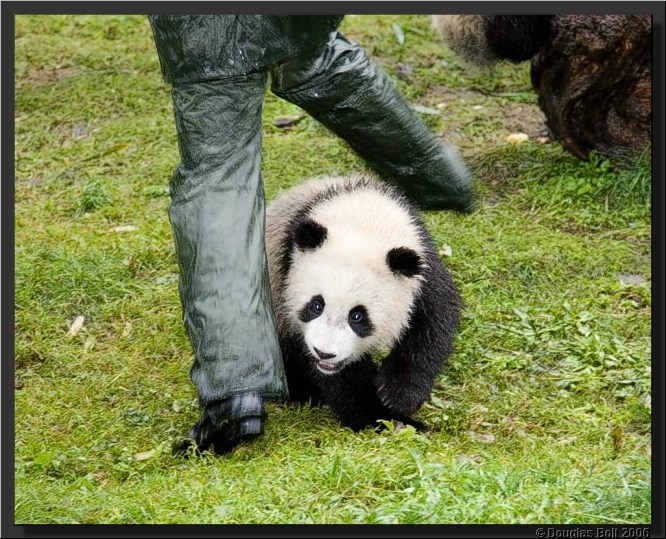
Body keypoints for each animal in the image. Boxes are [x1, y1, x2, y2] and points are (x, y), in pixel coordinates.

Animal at [265, 175, 461, 431]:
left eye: (357, 316)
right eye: (316, 305)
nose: (324, 353)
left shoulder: (422, 265)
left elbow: (434, 323)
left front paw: (397, 394)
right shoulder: (286, 270)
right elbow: (344, 380)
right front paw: (384, 417)